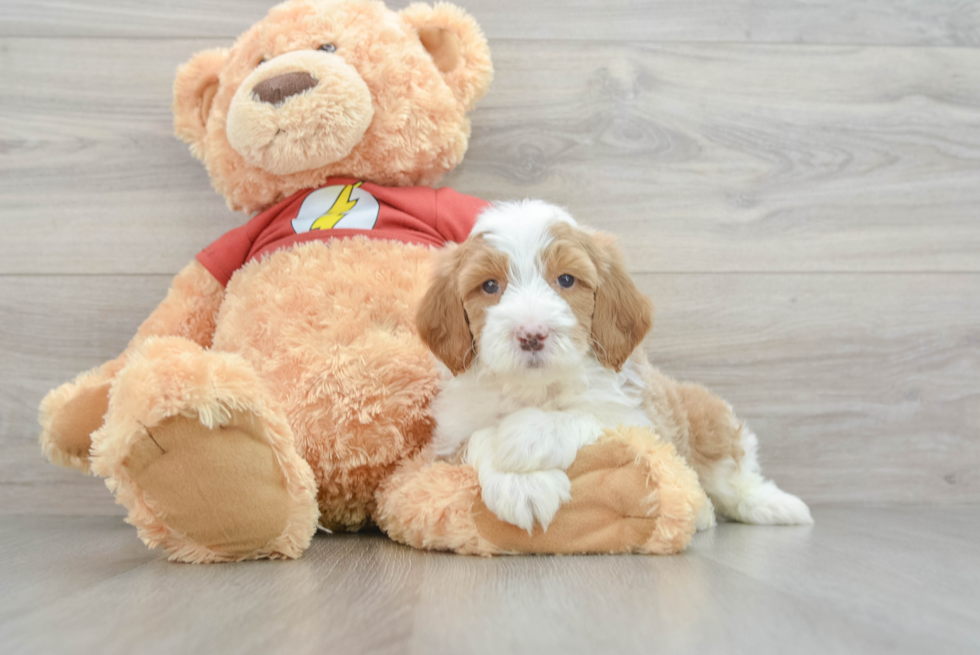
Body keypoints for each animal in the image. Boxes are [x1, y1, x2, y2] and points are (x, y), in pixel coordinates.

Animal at [416, 202, 812, 536]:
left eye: (566, 280)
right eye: (489, 285)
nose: (531, 334)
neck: (536, 388)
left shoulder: (634, 420)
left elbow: (583, 416)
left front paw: (526, 435)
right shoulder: (446, 439)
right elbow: (478, 437)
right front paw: (523, 485)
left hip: (707, 418)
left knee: (733, 474)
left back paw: (775, 506)